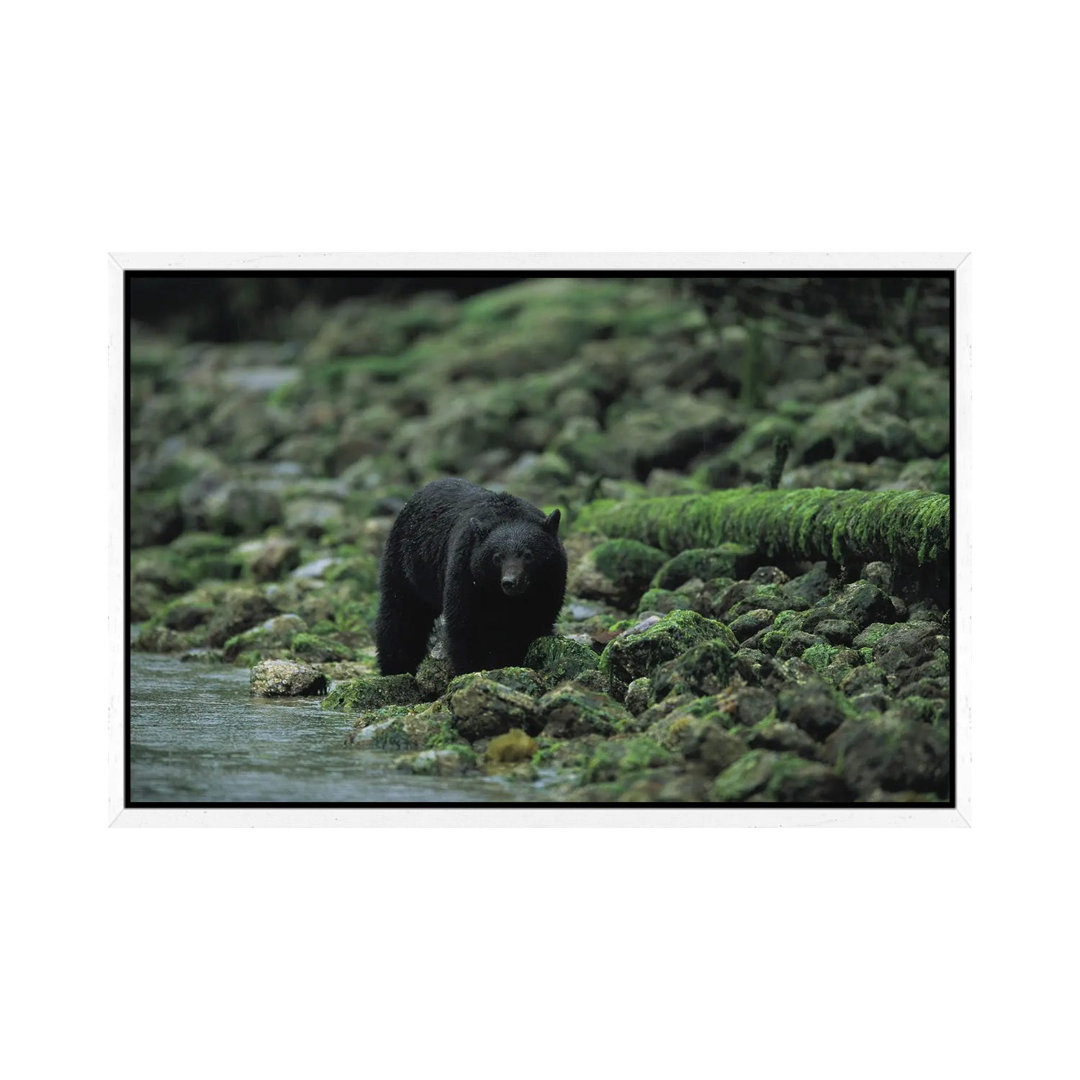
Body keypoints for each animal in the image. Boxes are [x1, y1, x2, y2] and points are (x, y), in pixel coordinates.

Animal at [375, 479, 570, 673]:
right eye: (497, 557)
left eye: (528, 555)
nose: (510, 582)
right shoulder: (466, 573)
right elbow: (465, 625)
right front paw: (472, 669)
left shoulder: (550, 581)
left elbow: (533, 622)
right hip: (407, 567)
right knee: (401, 617)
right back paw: (395, 668)